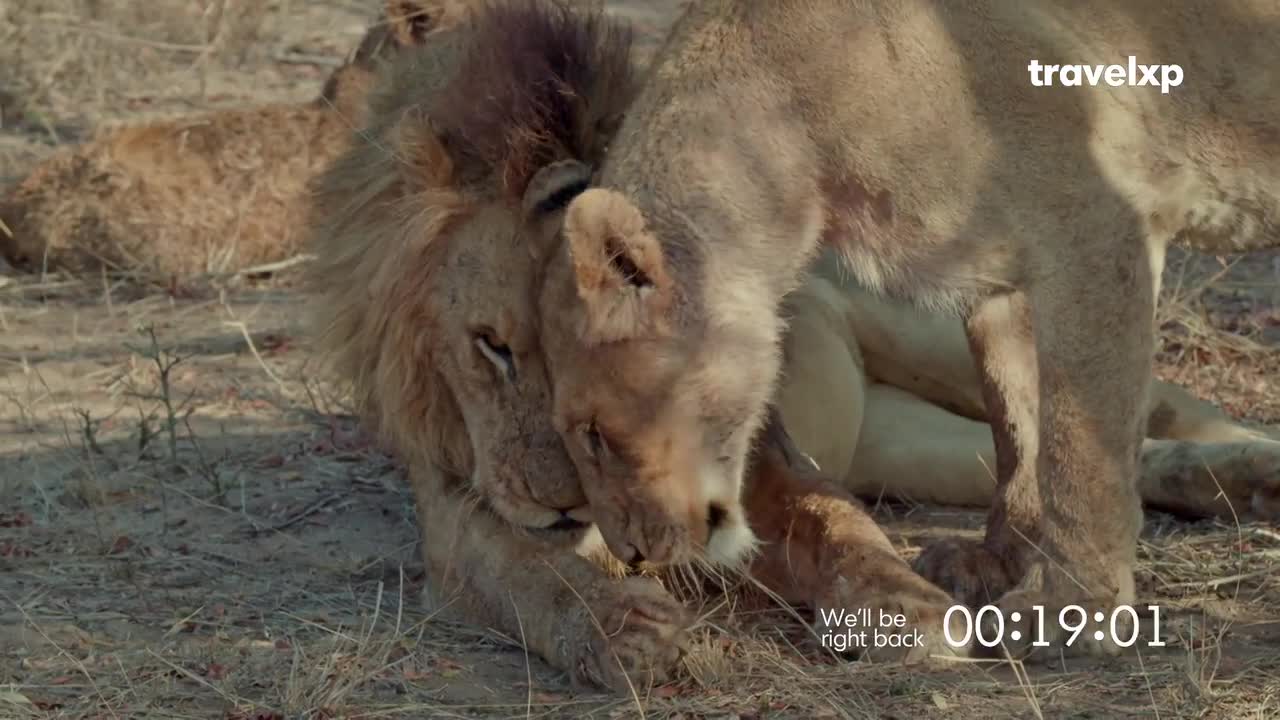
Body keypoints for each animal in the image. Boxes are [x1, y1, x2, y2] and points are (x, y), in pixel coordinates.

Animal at [522, 0, 1280, 656]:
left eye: (593, 433)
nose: (631, 555)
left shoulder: (1099, 226)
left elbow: (1080, 450)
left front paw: (1069, 610)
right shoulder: (1001, 274)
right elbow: (1019, 423)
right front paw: (1002, 558)